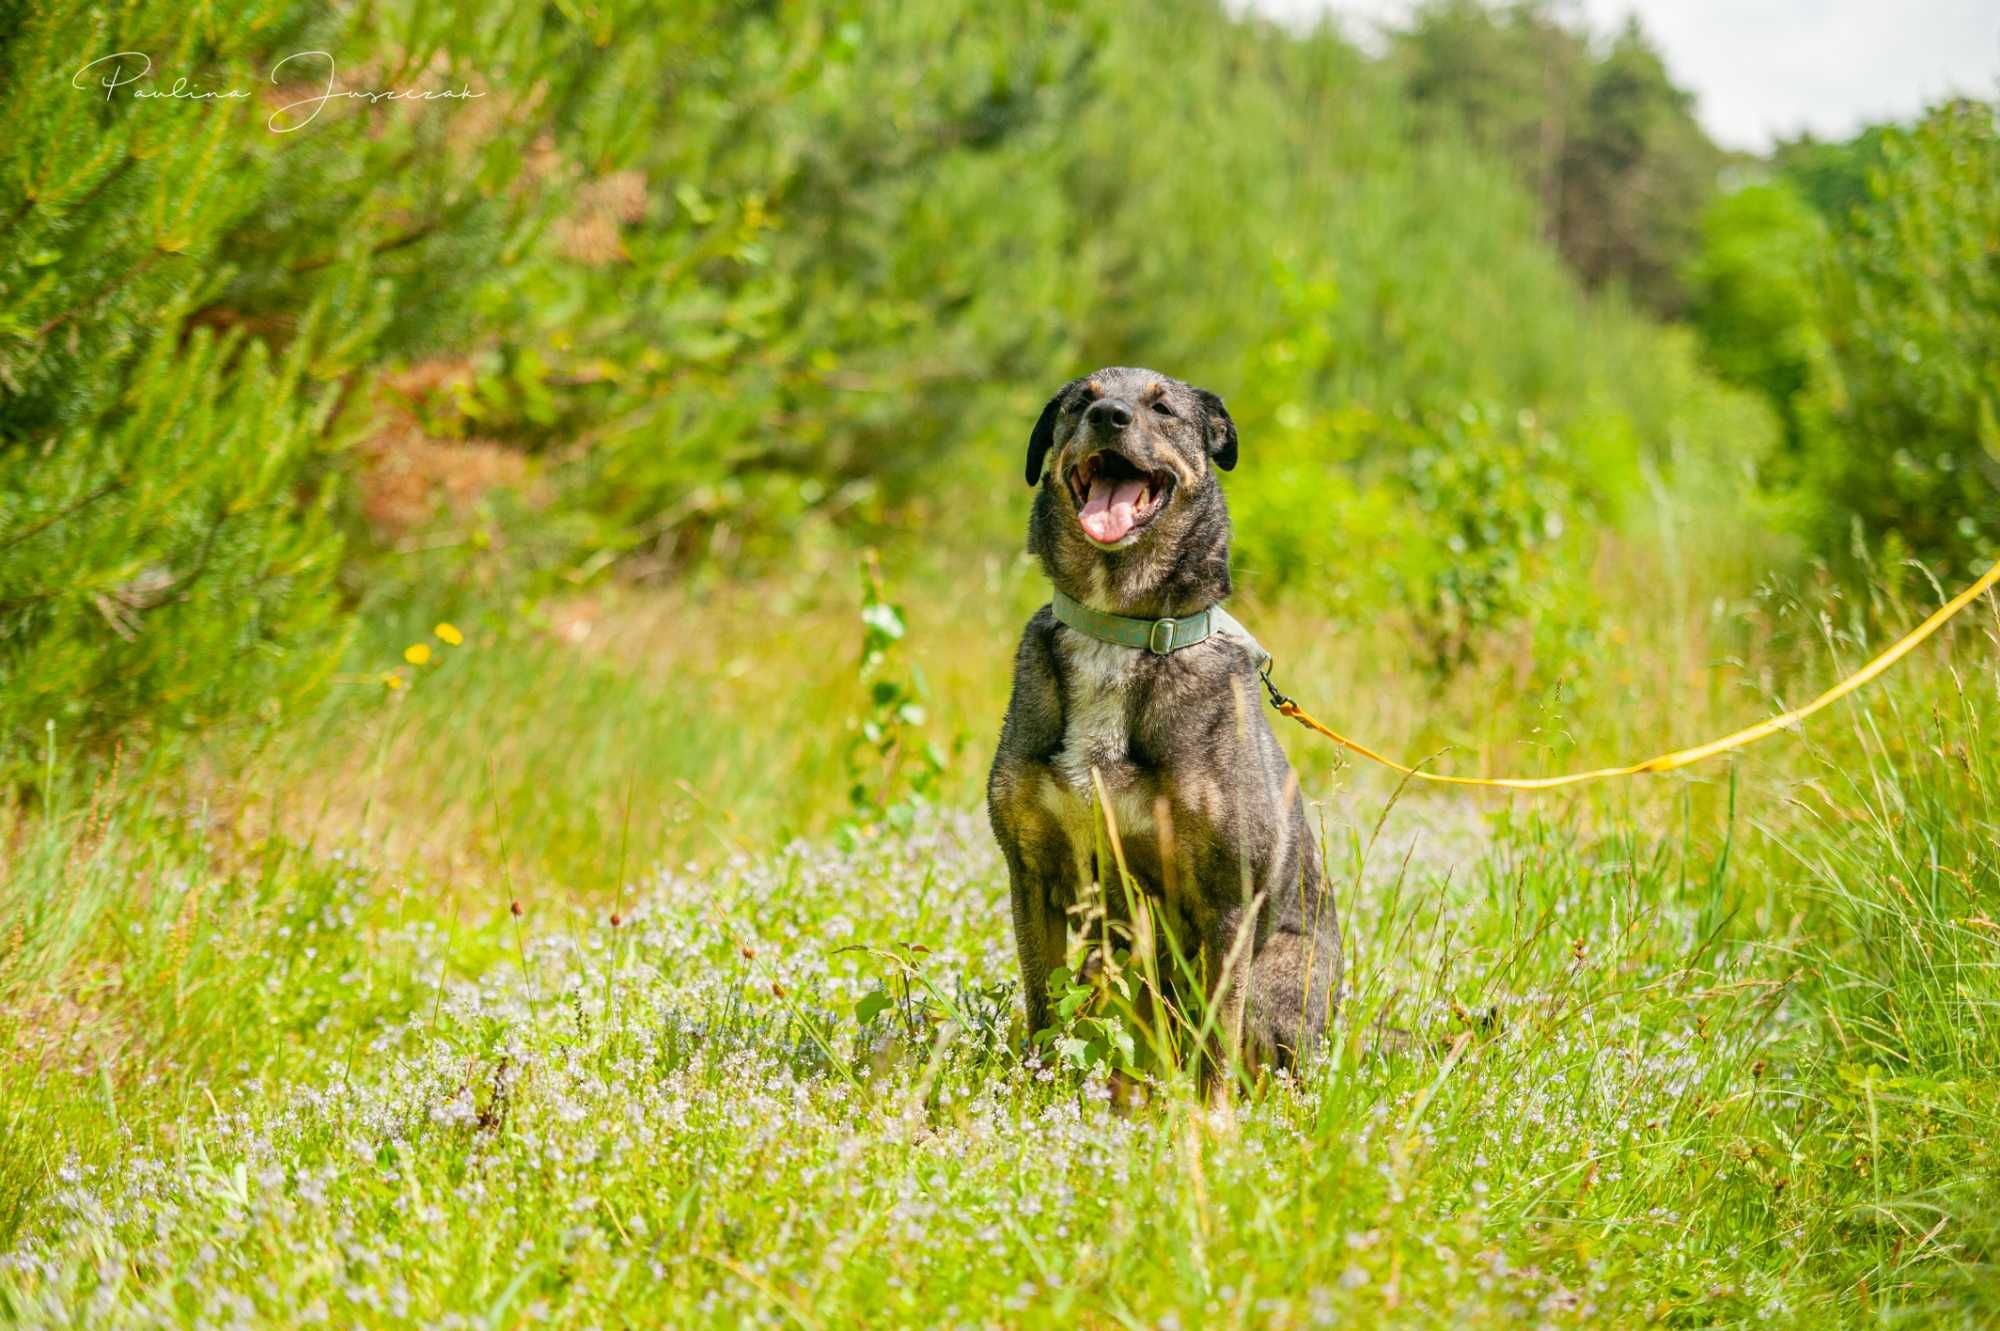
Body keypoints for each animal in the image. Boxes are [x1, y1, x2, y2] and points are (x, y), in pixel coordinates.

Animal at [988, 359, 1344, 1087]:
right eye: (1080, 403)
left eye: (1163, 408)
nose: (1110, 416)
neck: (1119, 625)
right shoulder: (1033, 875)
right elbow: (1044, 1008)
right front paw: (1039, 1088)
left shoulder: (1226, 901)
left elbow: (1215, 1042)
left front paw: (1209, 1114)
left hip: (1279, 982)